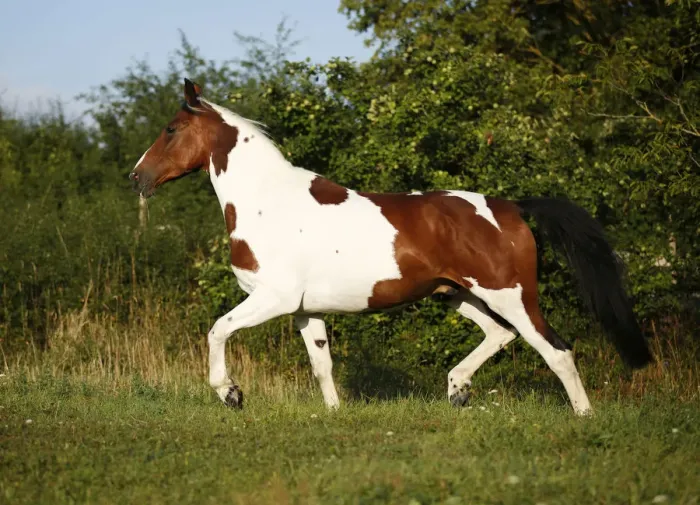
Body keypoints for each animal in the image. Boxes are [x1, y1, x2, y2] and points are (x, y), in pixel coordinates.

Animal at [129, 79, 652, 415]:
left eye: (171, 129)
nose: (136, 177)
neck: (267, 203)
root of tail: (512, 207)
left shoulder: (272, 299)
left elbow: (218, 330)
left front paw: (231, 394)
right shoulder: (304, 310)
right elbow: (322, 364)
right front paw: (334, 415)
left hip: (512, 295)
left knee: (557, 350)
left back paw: (583, 417)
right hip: (460, 295)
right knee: (500, 335)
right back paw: (457, 389)